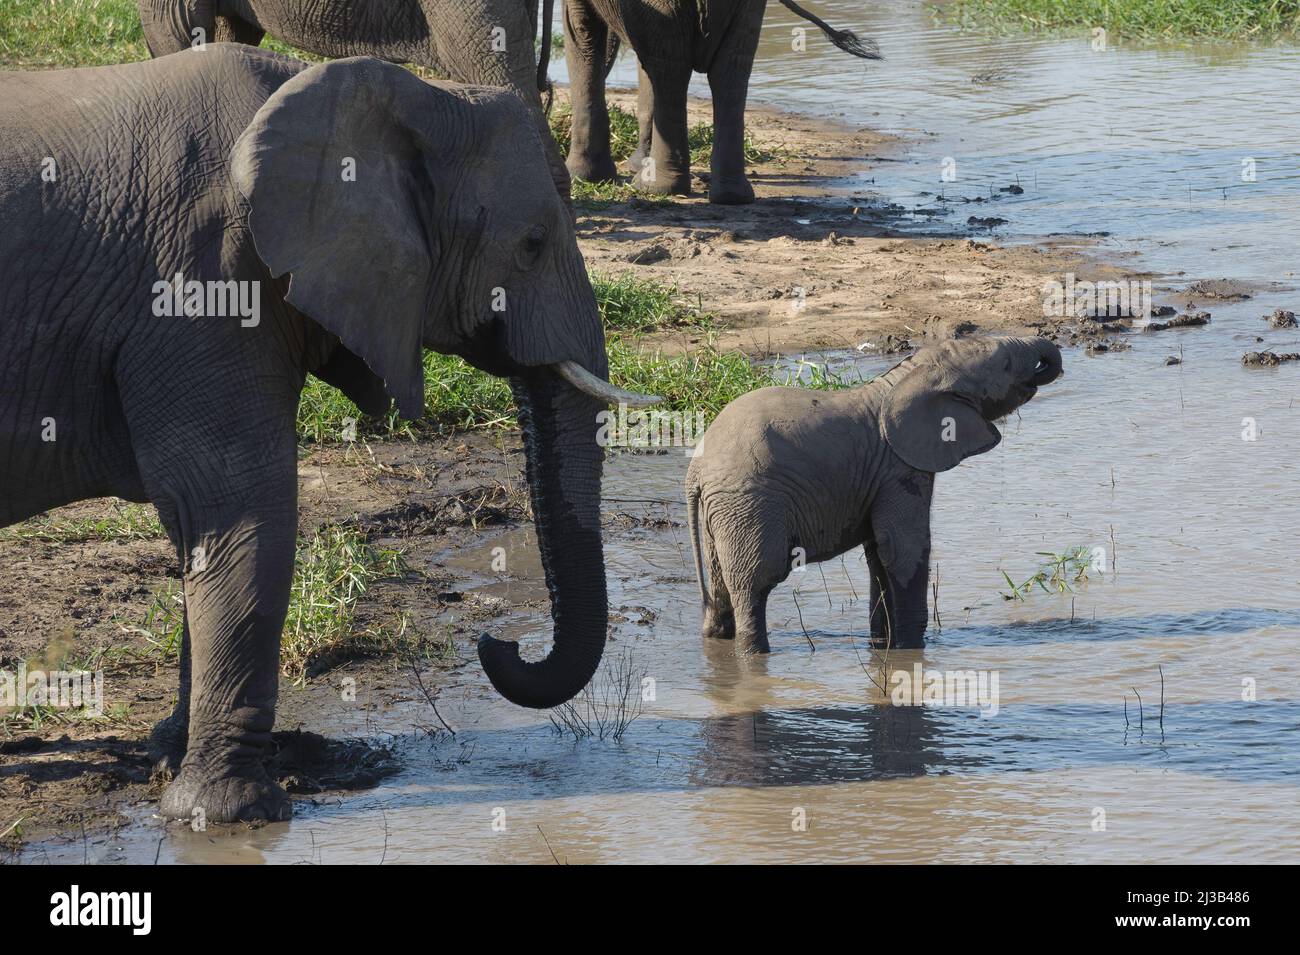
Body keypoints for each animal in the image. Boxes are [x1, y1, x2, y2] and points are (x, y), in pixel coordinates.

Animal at [0, 44, 655, 821]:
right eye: (530, 245)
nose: (499, 643)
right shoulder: (200, 282)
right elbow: (242, 509)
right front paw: (229, 813)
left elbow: (208, 530)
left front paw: (170, 763)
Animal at [564, 0, 878, 203]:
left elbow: (582, 35)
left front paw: (581, 176)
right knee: (728, 68)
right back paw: (730, 196)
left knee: (669, 66)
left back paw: (654, 188)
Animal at [686, 332, 1060, 654]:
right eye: (1006, 364)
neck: (907, 376)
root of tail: (695, 471)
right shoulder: (900, 468)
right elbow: (903, 548)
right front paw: (911, 648)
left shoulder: (880, 476)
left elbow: (878, 555)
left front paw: (883, 646)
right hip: (750, 503)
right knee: (755, 584)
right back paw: (755, 656)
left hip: (723, 512)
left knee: (721, 588)